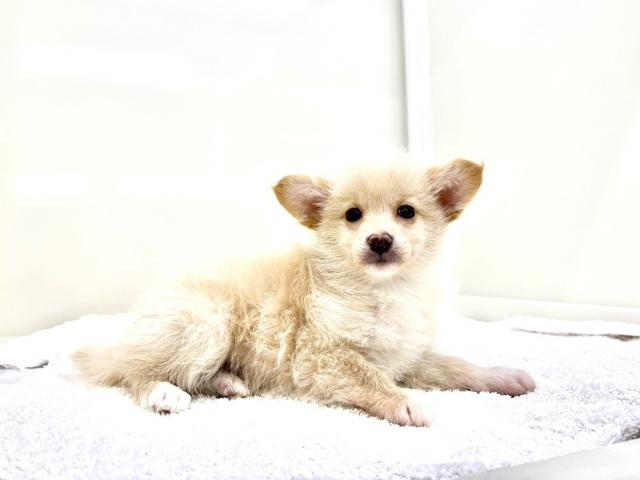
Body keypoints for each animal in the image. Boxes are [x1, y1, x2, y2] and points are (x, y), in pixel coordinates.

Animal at [73, 158, 535, 426]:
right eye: (353, 215)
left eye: (406, 212)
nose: (379, 240)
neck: (383, 291)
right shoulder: (323, 356)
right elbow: (368, 378)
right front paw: (406, 403)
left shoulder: (405, 357)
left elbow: (455, 366)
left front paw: (501, 376)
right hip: (204, 326)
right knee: (135, 372)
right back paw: (163, 392)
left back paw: (230, 383)